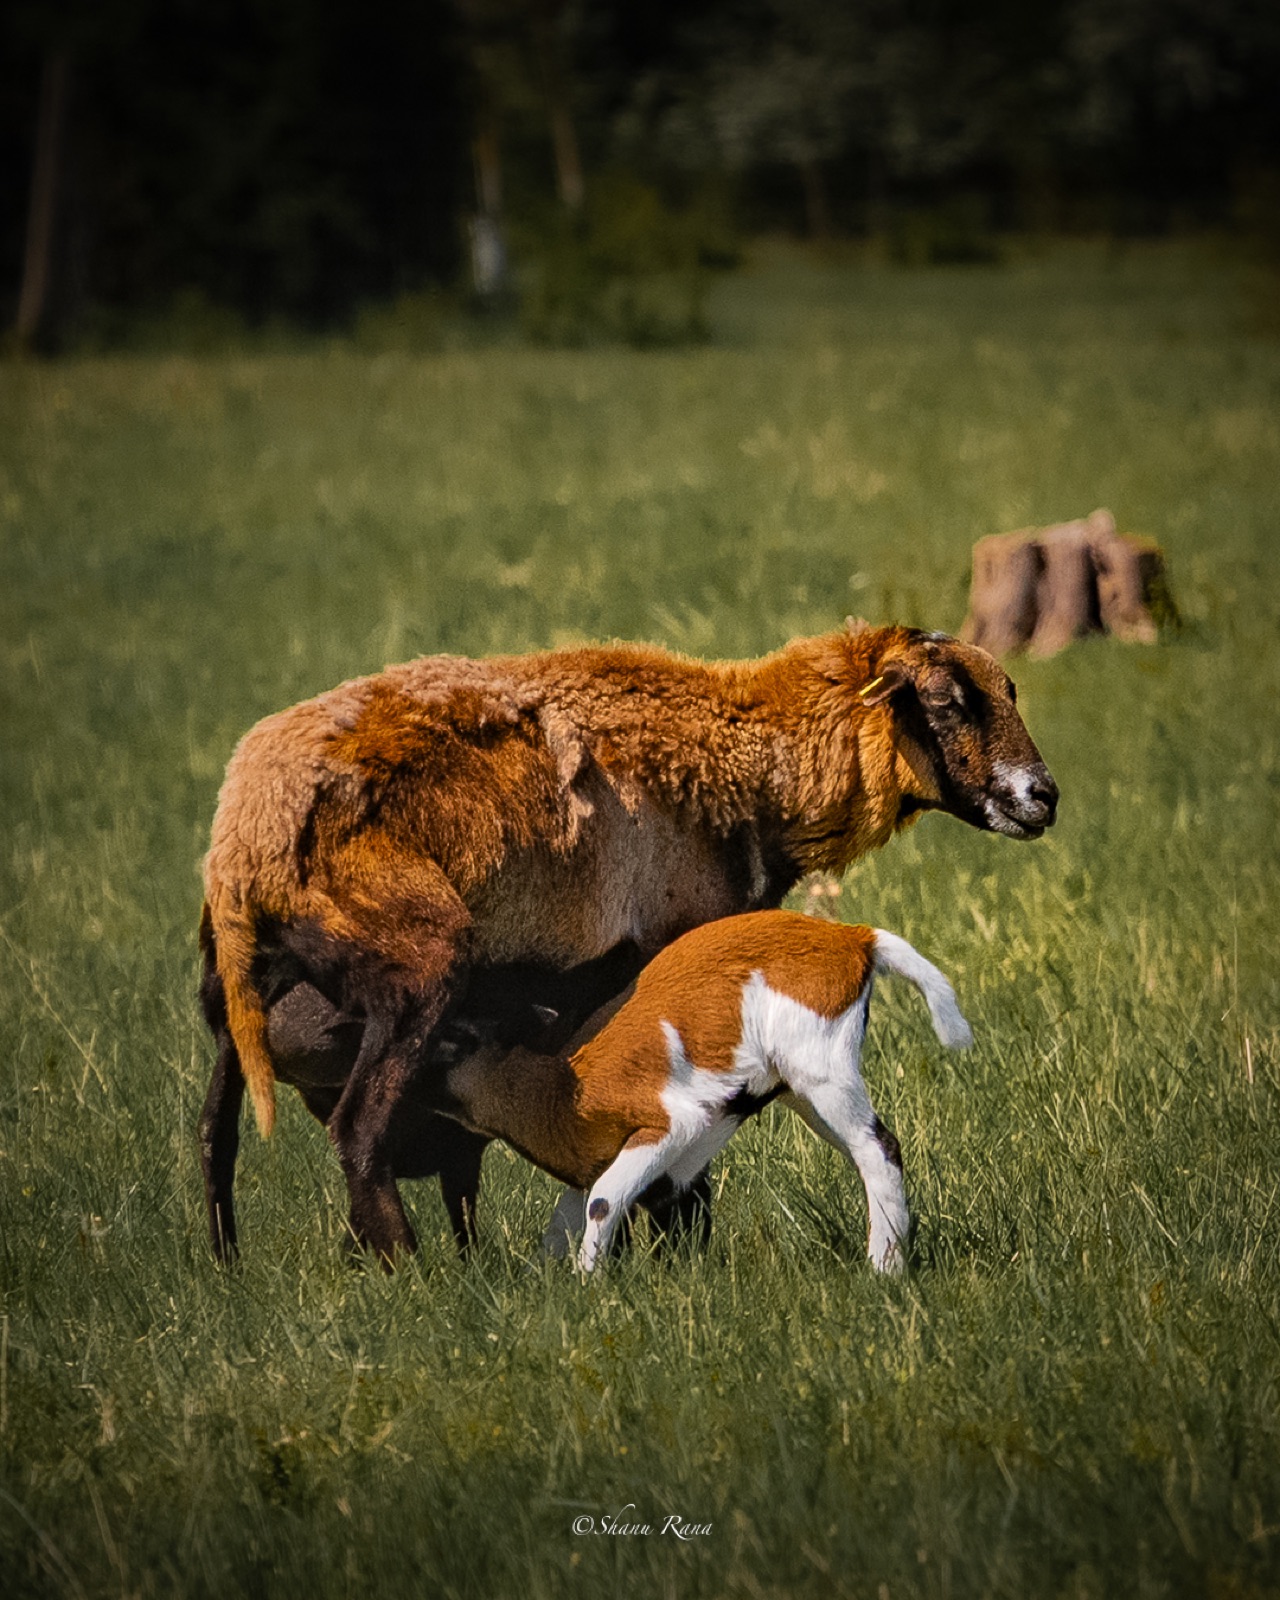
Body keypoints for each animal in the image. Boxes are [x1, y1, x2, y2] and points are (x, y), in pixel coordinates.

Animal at [431, 910, 972, 1273]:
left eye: (453, 1037)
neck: (565, 1085)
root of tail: (853, 937)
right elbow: (568, 1217)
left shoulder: (671, 1123)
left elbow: (601, 1200)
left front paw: (589, 1283)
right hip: (802, 1092)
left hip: (824, 1077)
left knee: (879, 1149)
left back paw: (883, 1269)